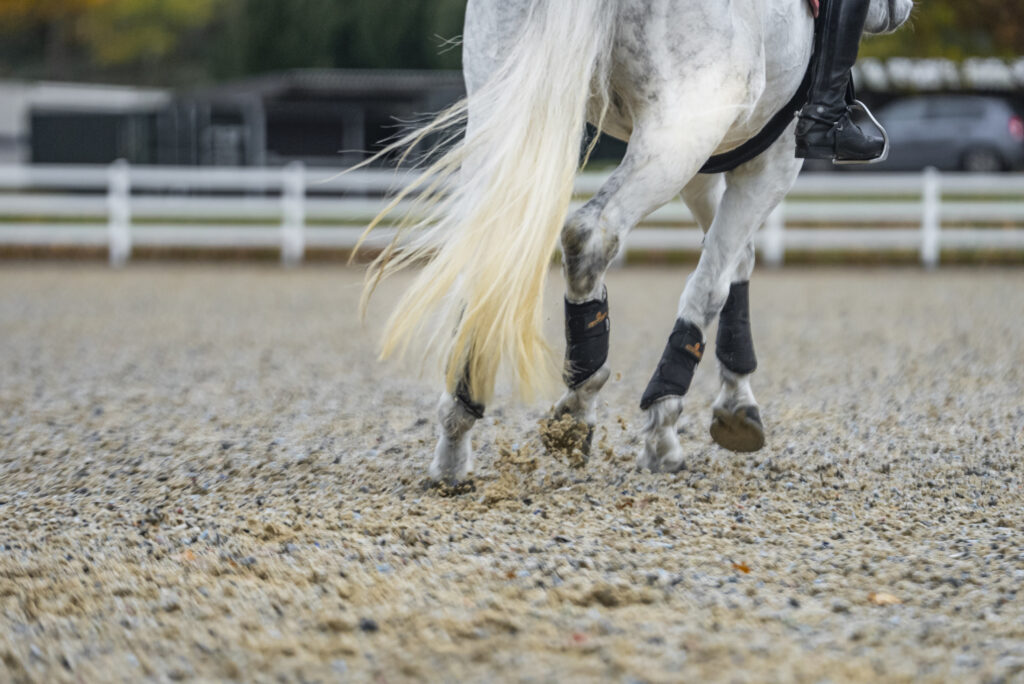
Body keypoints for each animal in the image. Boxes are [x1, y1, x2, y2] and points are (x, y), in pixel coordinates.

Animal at [359, 0, 913, 482]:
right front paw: (667, 421)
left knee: (491, 252)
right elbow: (712, 281)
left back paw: (457, 435)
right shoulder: (766, 157)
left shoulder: (713, 156)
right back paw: (579, 402)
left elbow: (734, 261)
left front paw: (735, 400)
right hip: (680, 128)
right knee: (590, 235)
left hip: (506, 103)